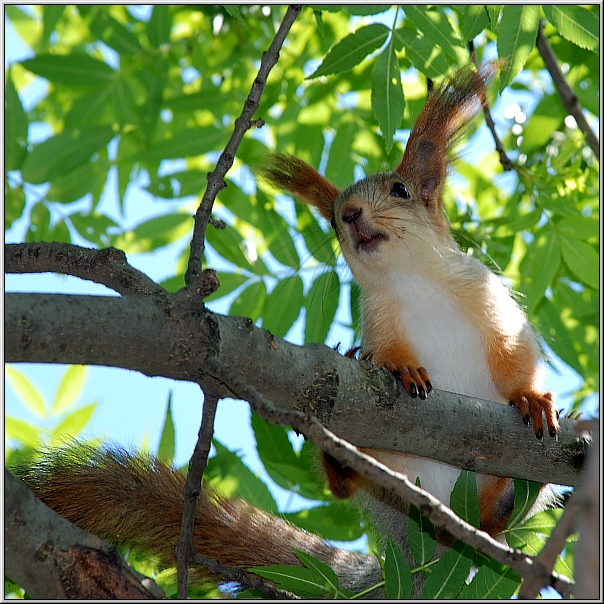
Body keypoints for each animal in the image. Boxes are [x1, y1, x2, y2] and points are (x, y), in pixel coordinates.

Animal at [15, 63, 556, 596]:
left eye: (400, 191)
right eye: (333, 218)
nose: (350, 215)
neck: (412, 280)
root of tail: (422, 555)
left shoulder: (490, 302)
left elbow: (516, 357)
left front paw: (532, 399)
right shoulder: (380, 320)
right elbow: (388, 351)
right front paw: (397, 368)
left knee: (493, 523)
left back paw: (495, 508)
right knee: (349, 487)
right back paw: (340, 460)